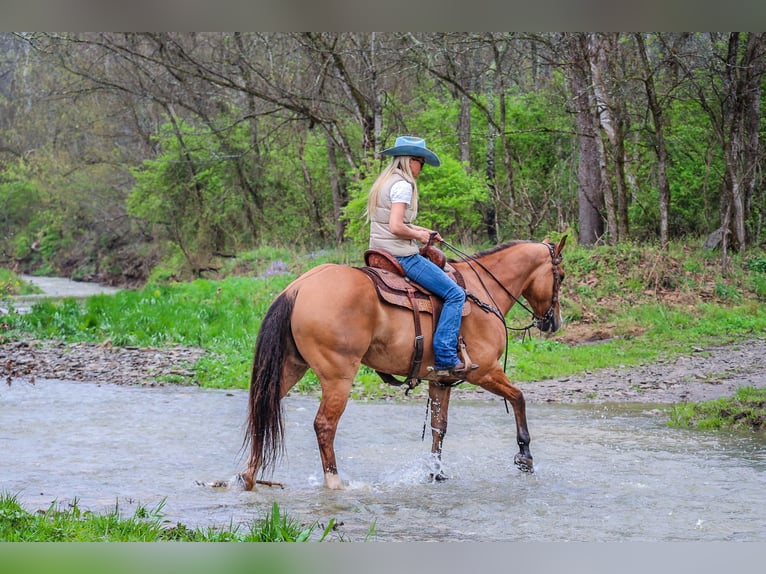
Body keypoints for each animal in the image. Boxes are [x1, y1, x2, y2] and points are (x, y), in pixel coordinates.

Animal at [243, 235, 568, 490]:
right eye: (561, 276)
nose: (554, 322)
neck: (482, 289)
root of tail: (297, 288)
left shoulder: (441, 381)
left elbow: (439, 427)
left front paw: (436, 473)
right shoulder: (486, 371)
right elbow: (519, 398)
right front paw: (525, 457)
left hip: (291, 368)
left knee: (261, 410)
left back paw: (248, 475)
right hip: (338, 377)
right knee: (324, 425)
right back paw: (334, 483)